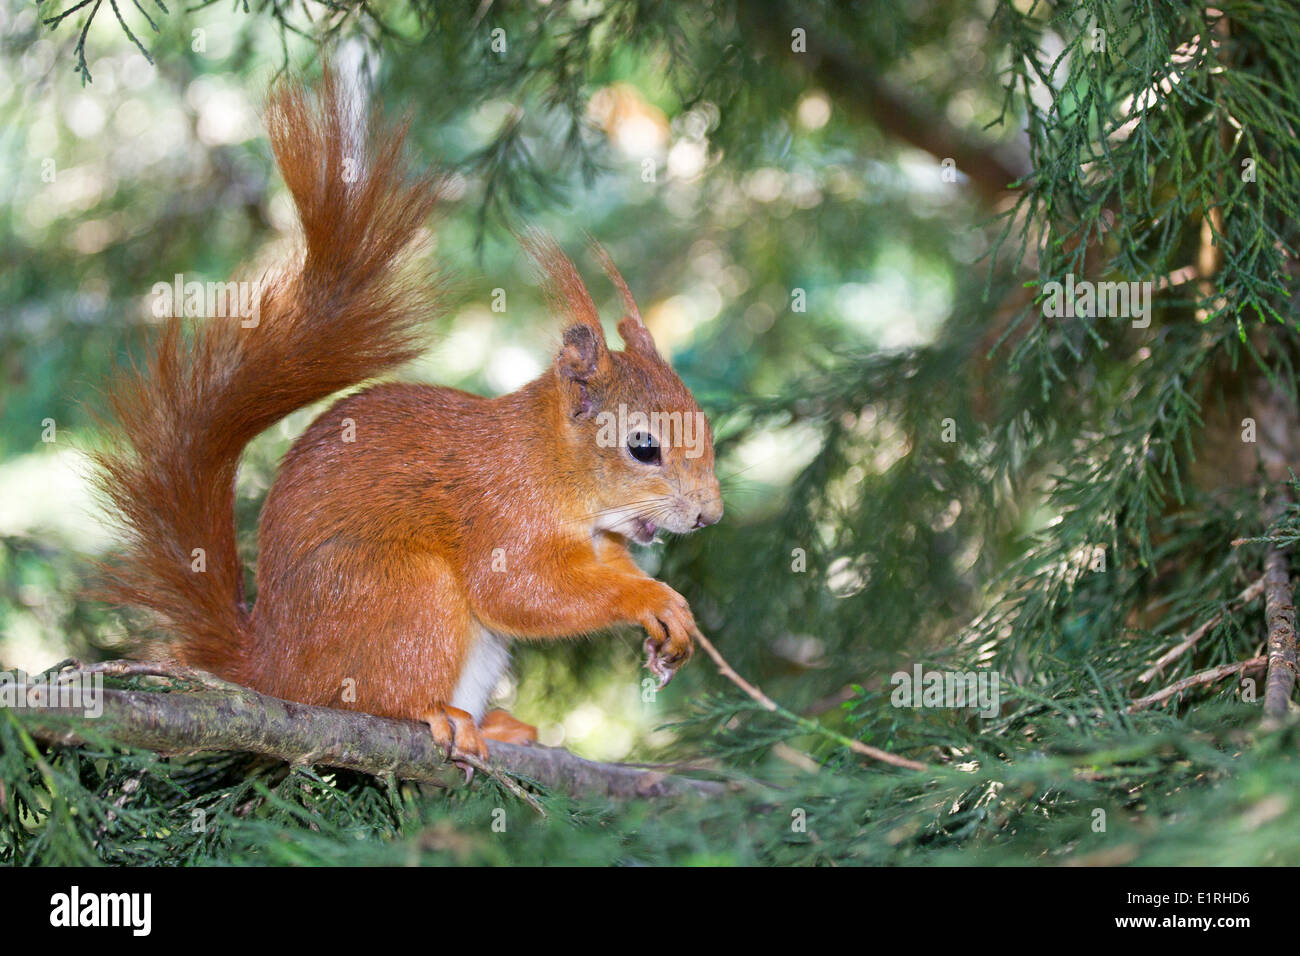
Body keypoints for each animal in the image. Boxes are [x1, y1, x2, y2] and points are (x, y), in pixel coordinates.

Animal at [94, 70, 722, 764]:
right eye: (643, 447)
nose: (710, 516)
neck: (549, 463)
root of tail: (273, 670)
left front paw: (674, 613)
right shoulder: (500, 513)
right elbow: (521, 592)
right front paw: (647, 596)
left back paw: (494, 725)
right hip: (403, 591)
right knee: (376, 695)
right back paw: (433, 713)